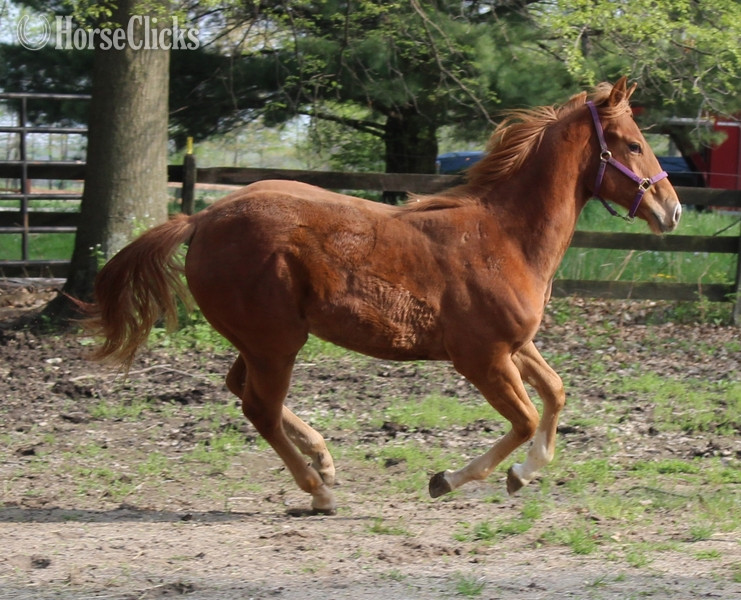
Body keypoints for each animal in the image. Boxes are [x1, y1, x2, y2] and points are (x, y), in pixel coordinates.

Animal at [82, 77, 681, 514]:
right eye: (634, 144)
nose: (672, 210)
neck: (504, 237)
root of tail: (202, 218)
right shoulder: (482, 358)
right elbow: (527, 418)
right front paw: (450, 478)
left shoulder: (516, 345)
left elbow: (555, 392)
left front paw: (523, 475)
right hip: (276, 342)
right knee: (259, 407)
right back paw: (320, 491)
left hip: (259, 340)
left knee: (241, 389)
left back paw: (323, 460)